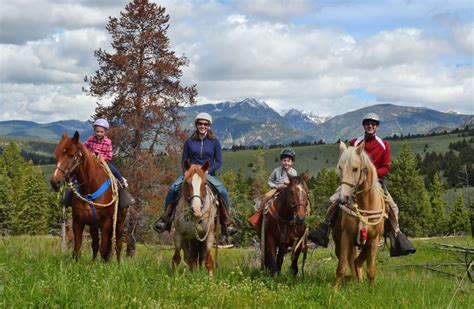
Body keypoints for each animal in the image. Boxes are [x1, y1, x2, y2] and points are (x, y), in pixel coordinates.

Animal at [49, 131, 128, 262]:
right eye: (56, 155)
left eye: (71, 155)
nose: (55, 182)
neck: (90, 191)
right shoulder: (78, 222)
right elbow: (77, 249)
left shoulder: (106, 223)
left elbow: (104, 249)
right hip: (93, 226)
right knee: (95, 244)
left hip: (119, 223)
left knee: (118, 245)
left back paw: (117, 264)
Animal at [334, 141, 386, 288]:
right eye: (340, 168)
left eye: (355, 169)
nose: (343, 198)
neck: (365, 206)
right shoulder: (346, 237)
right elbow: (341, 267)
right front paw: (334, 290)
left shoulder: (374, 240)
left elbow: (371, 270)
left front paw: (372, 289)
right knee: (353, 261)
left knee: (357, 262)